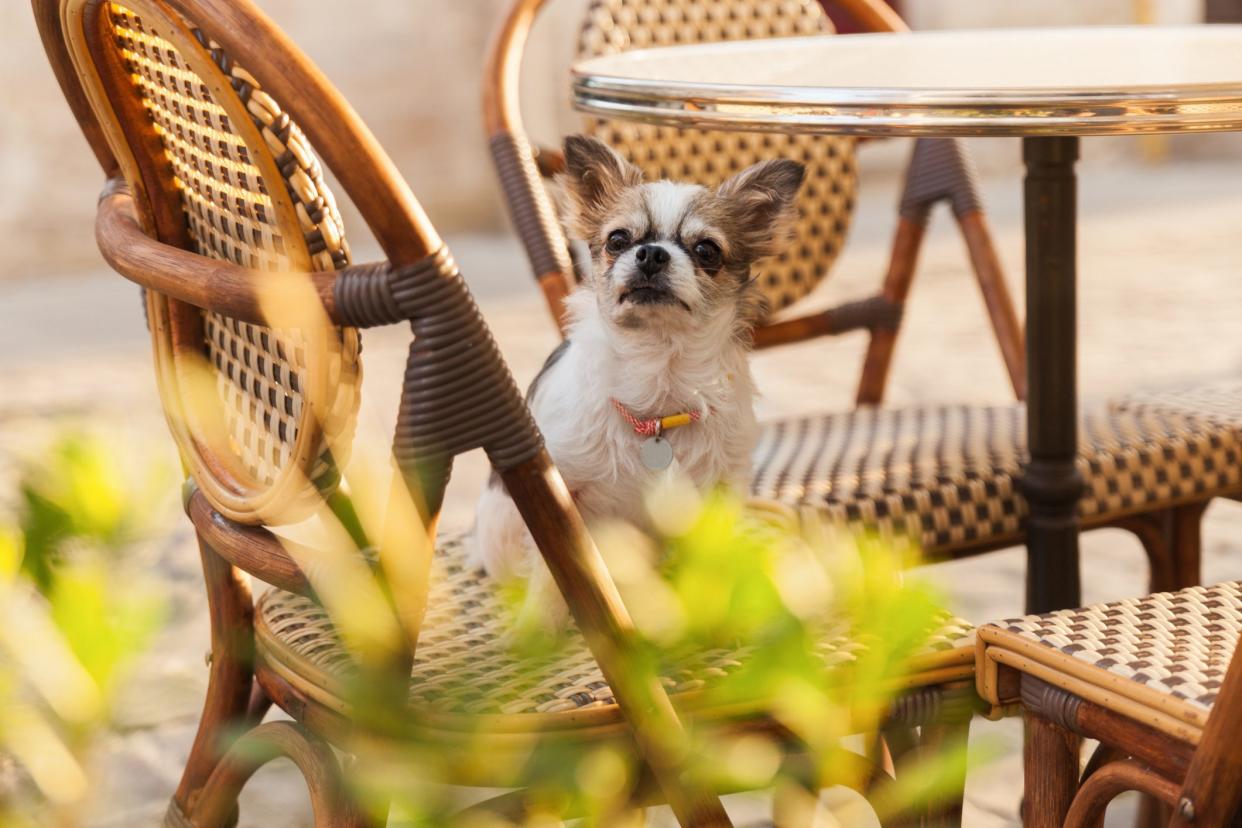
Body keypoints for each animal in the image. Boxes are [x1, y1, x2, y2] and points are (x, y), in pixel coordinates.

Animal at [466, 134, 804, 635]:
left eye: (707, 251)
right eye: (618, 240)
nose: (651, 253)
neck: (658, 387)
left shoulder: (720, 496)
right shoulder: (560, 502)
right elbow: (556, 573)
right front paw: (541, 626)